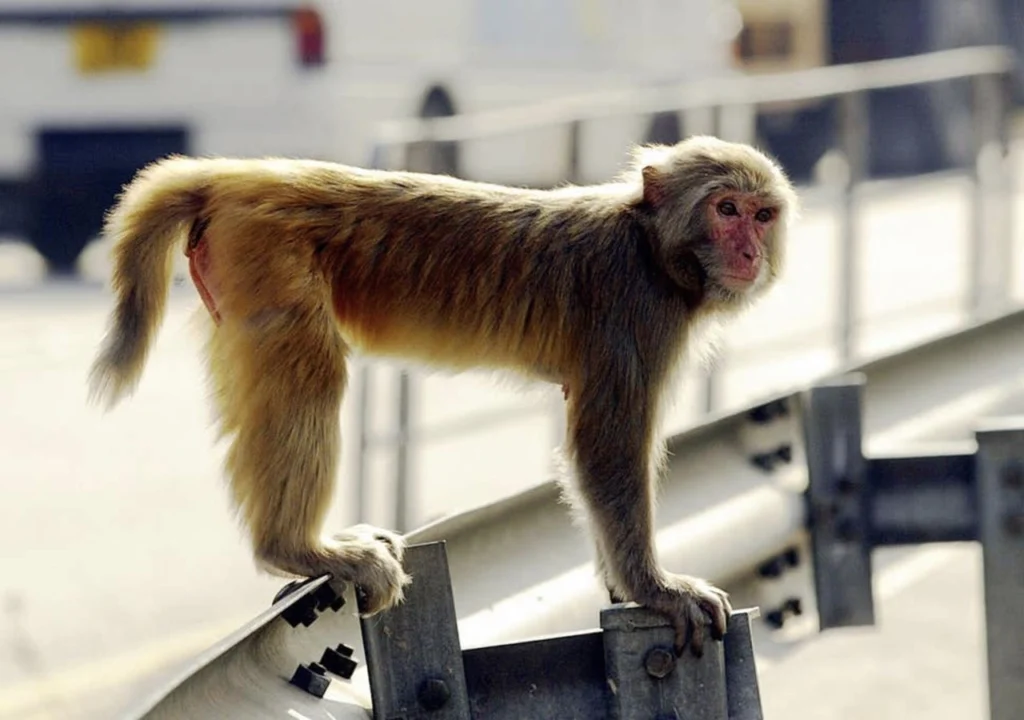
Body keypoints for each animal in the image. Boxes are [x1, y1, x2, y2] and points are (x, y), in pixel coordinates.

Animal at [88, 135, 797, 657]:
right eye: (726, 210)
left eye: (763, 215)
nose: (749, 251)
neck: (653, 247)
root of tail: (239, 176)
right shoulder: (636, 309)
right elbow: (606, 451)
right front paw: (654, 589)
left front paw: (621, 586)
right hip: (270, 255)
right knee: (309, 369)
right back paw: (295, 548)